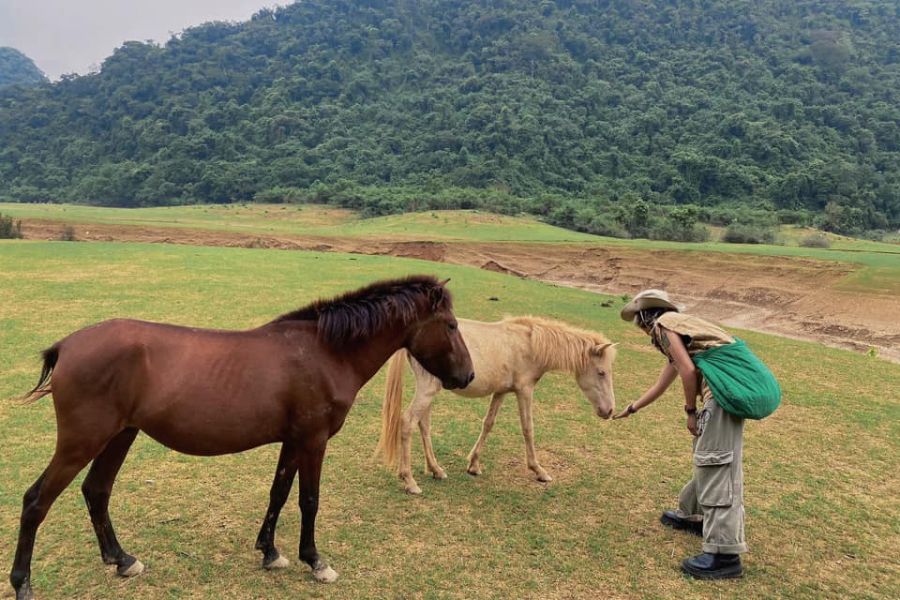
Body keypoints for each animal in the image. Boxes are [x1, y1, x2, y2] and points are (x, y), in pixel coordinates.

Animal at [10, 276, 474, 600]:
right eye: (451, 325)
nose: (468, 376)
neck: (324, 352)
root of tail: (67, 346)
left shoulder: (293, 441)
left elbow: (279, 494)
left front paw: (270, 552)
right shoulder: (314, 440)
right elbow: (309, 500)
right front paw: (315, 561)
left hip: (119, 436)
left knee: (96, 491)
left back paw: (122, 560)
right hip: (81, 441)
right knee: (36, 501)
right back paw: (22, 583)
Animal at [376, 316, 616, 494]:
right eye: (601, 372)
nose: (609, 411)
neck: (529, 344)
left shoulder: (501, 392)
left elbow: (488, 423)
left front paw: (473, 465)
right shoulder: (524, 391)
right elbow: (528, 428)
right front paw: (538, 471)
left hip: (429, 390)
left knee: (423, 425)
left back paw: (436, 470)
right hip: (427, 390)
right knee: (408, 422)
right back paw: (409, 481)